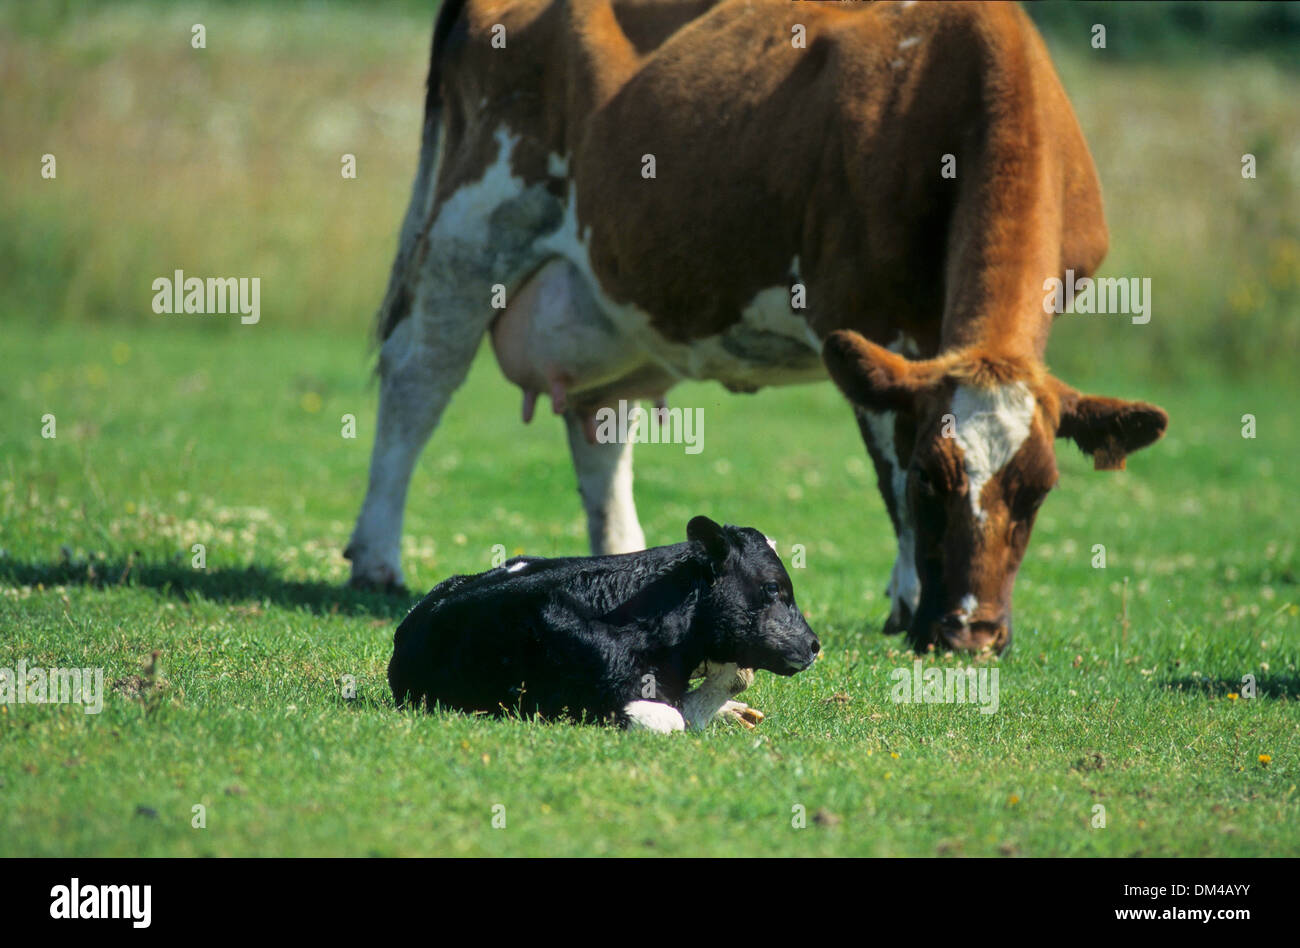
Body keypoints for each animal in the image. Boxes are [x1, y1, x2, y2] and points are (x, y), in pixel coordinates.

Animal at [343, 0, 1170, 658]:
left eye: (1039, 489)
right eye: (936, 480)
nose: (972, 633)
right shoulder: (864, 316)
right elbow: (889, 470)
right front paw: (908, 600)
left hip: (611, 301)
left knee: (599, 424)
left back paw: (625, 558)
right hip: (467, 235)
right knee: (418, 380)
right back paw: (377, 559)